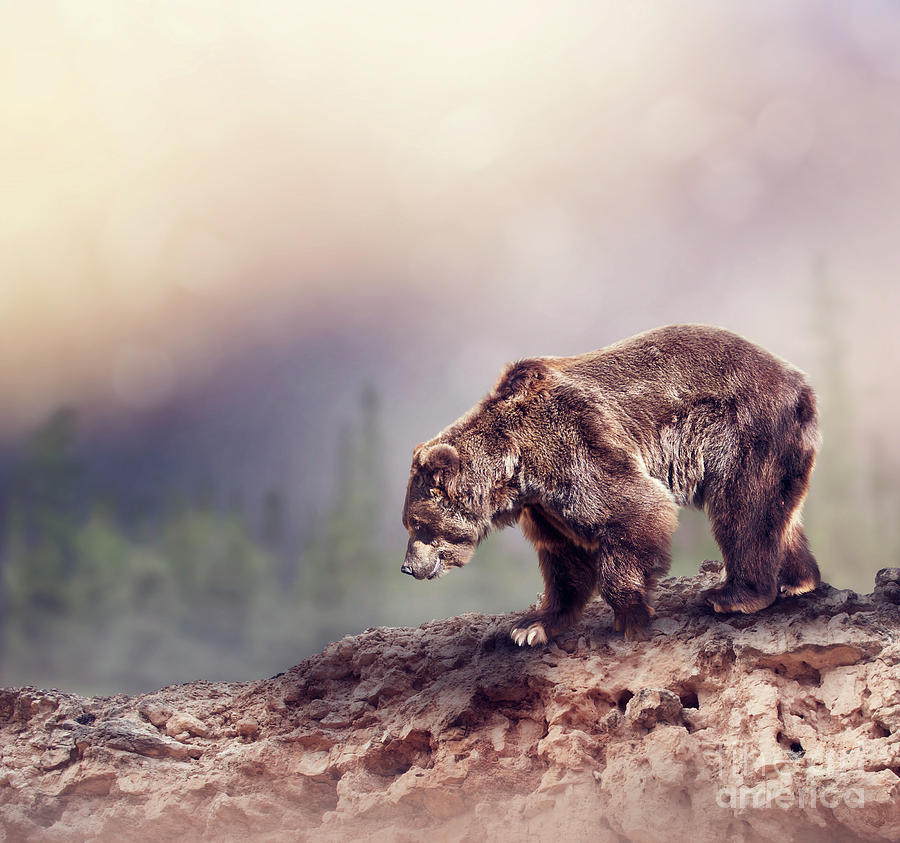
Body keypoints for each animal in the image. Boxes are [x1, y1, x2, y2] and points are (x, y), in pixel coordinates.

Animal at [400, 324, 824, 648]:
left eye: (417, 524)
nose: (407, 567)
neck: (513, 466)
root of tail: (801, 382)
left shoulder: (572, 447)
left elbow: (635, 509)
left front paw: (631, 614)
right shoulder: (544, 504)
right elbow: (564, 558)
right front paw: (532, 626)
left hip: (742, 431)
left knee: (741, 510)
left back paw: (733, 595)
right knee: (777, 513)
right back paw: (798, 582)